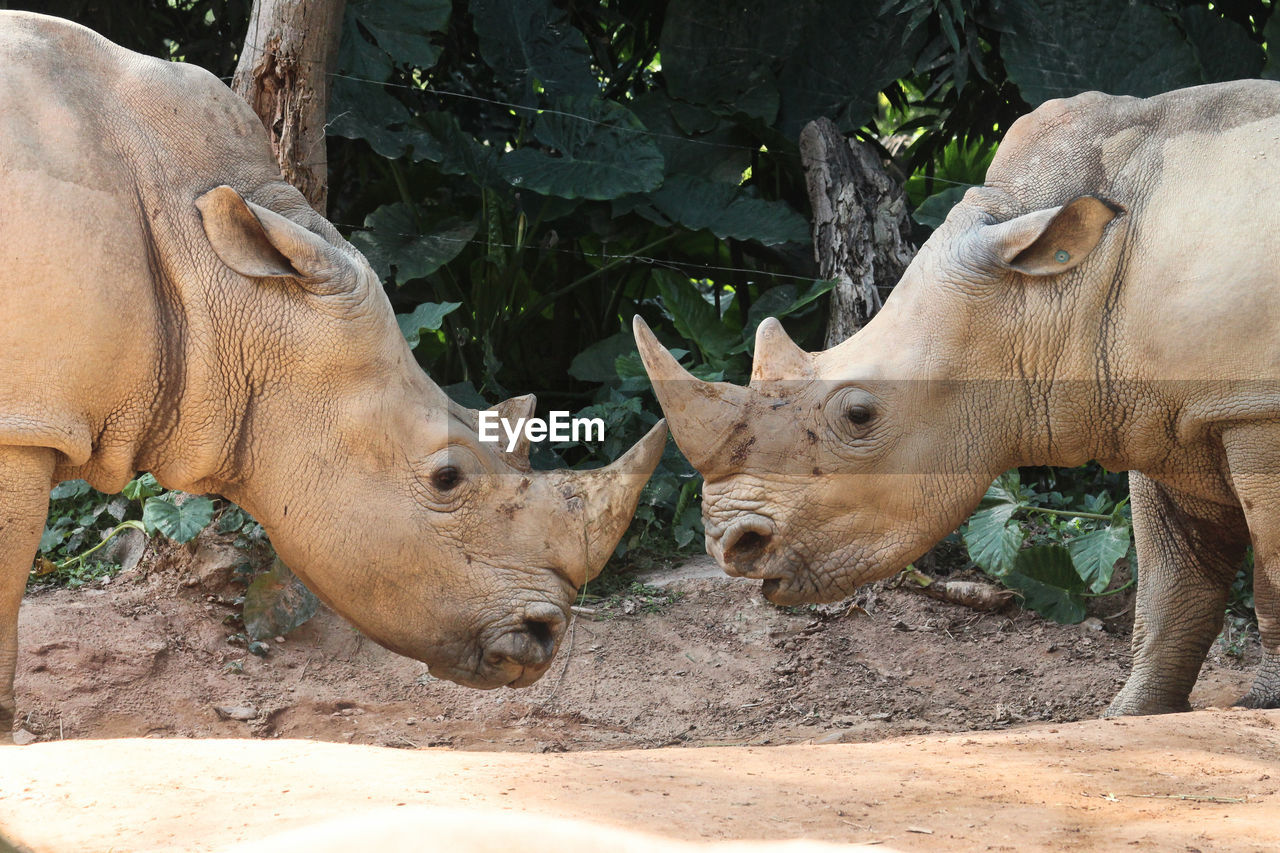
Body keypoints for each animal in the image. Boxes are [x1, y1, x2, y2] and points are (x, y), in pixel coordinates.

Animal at [634, 79, 1280, 712]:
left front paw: (1260, 707)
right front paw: (1131, 715)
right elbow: (1172, 584)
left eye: (859, 415)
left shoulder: (1254, 409)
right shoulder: (1158, 406)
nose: (731, 548)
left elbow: (1269, 567)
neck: (1056, 287)